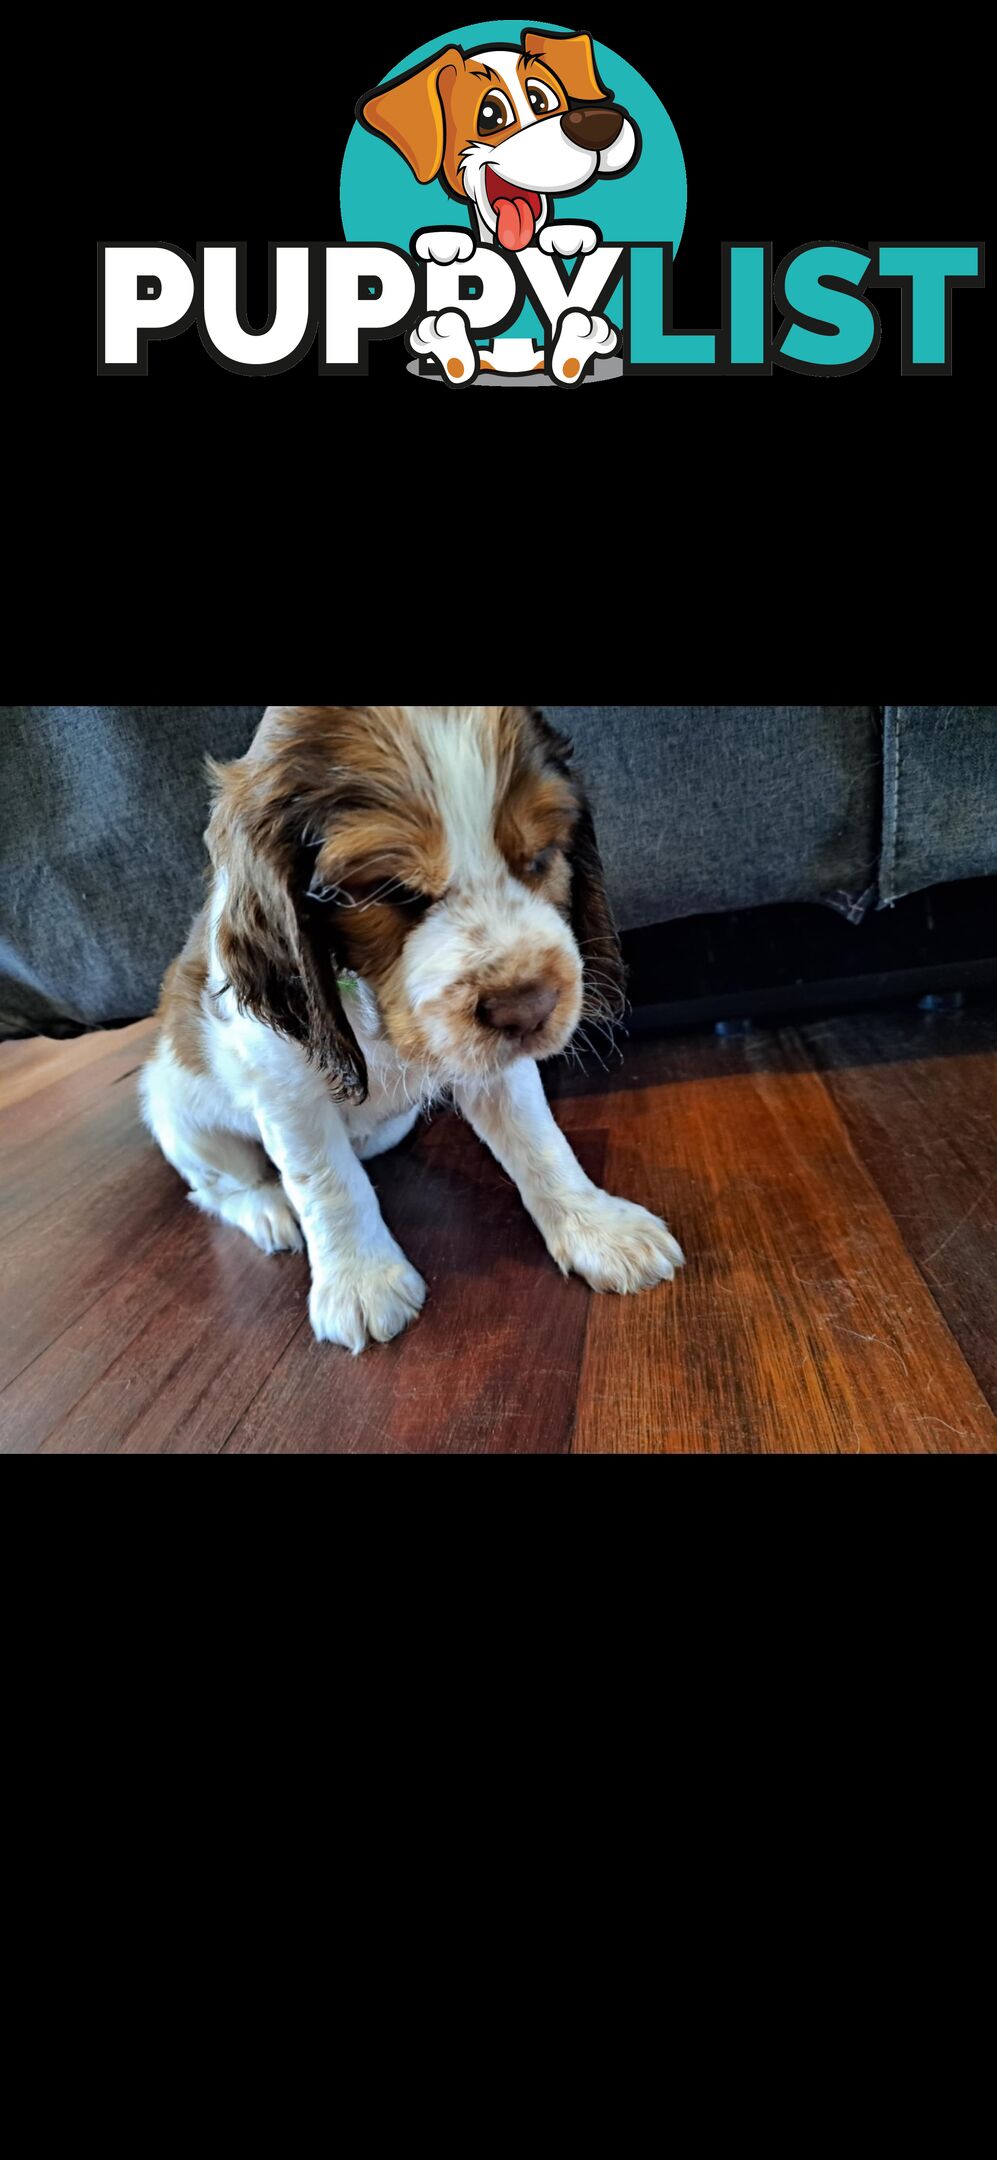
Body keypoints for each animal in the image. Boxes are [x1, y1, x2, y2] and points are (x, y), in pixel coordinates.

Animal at [142, 708, 686, 1347]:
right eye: (389, 890)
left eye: (541, 858)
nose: (529, 1008)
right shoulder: (285, 1086)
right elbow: (325, 1180)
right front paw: (360, 1283)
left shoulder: (494, 1069)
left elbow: (541, 1141)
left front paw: (598, 1228)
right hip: (182, 1115)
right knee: (216, 1186)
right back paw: (267, 1210)